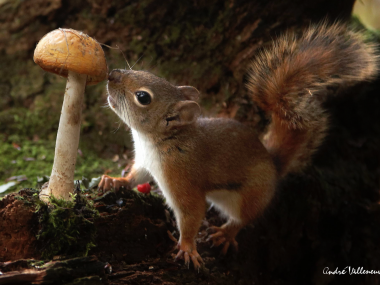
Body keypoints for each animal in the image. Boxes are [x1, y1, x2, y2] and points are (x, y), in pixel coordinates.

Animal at [97, 22, 378, 268]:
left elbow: (191, 213)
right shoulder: (145, 163)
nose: (112, 74)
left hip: (249, 196)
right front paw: (115, 181)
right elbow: (135, 177)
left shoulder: (182, 180)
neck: (158, 140)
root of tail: (273, 165)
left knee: (244, 218)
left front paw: (188, 248)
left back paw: (226, 233)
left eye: (143, 97)